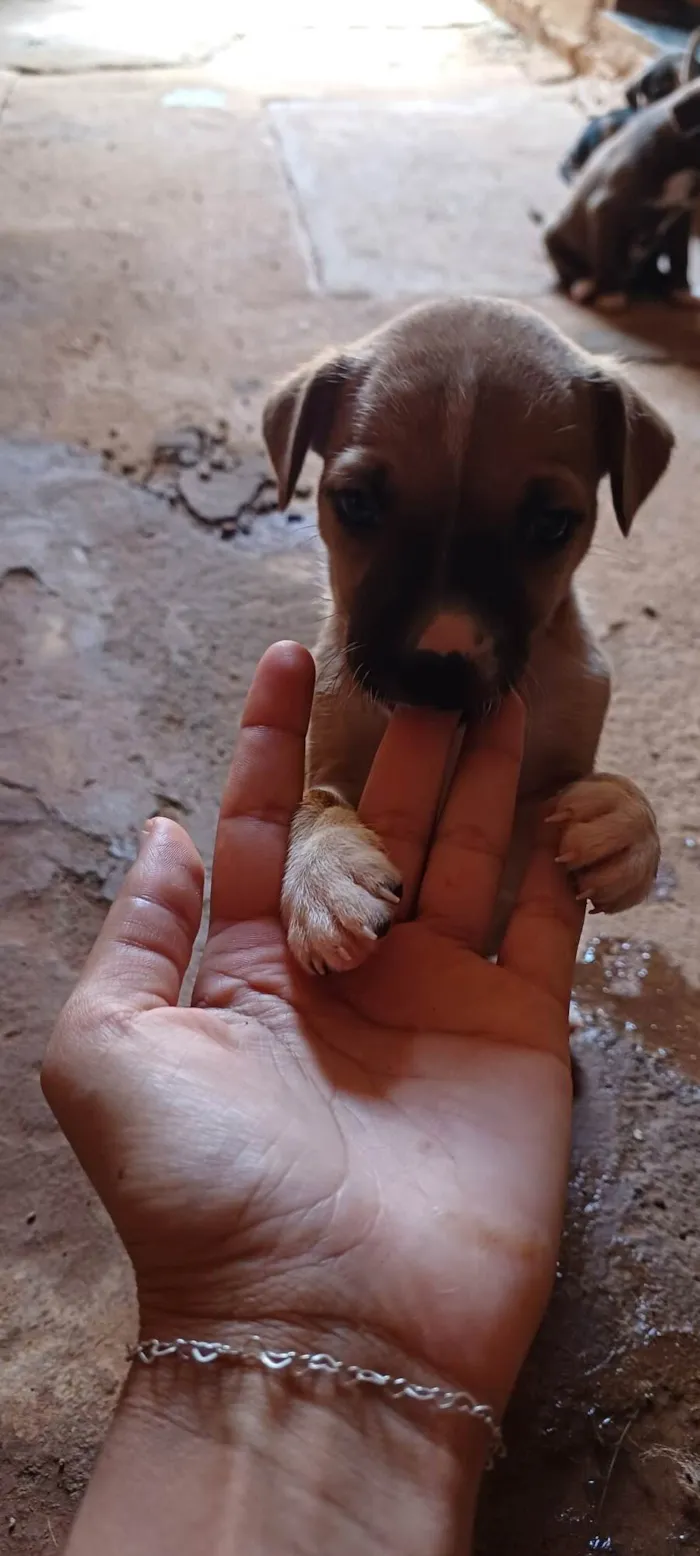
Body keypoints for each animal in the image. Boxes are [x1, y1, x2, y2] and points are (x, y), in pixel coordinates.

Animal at [259, 297, 668, 970]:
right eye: (357, 503)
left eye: (551, 524)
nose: (437, 668)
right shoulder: (332, 752)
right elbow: (312, 800)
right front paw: (325, 876)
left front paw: (628, 819)